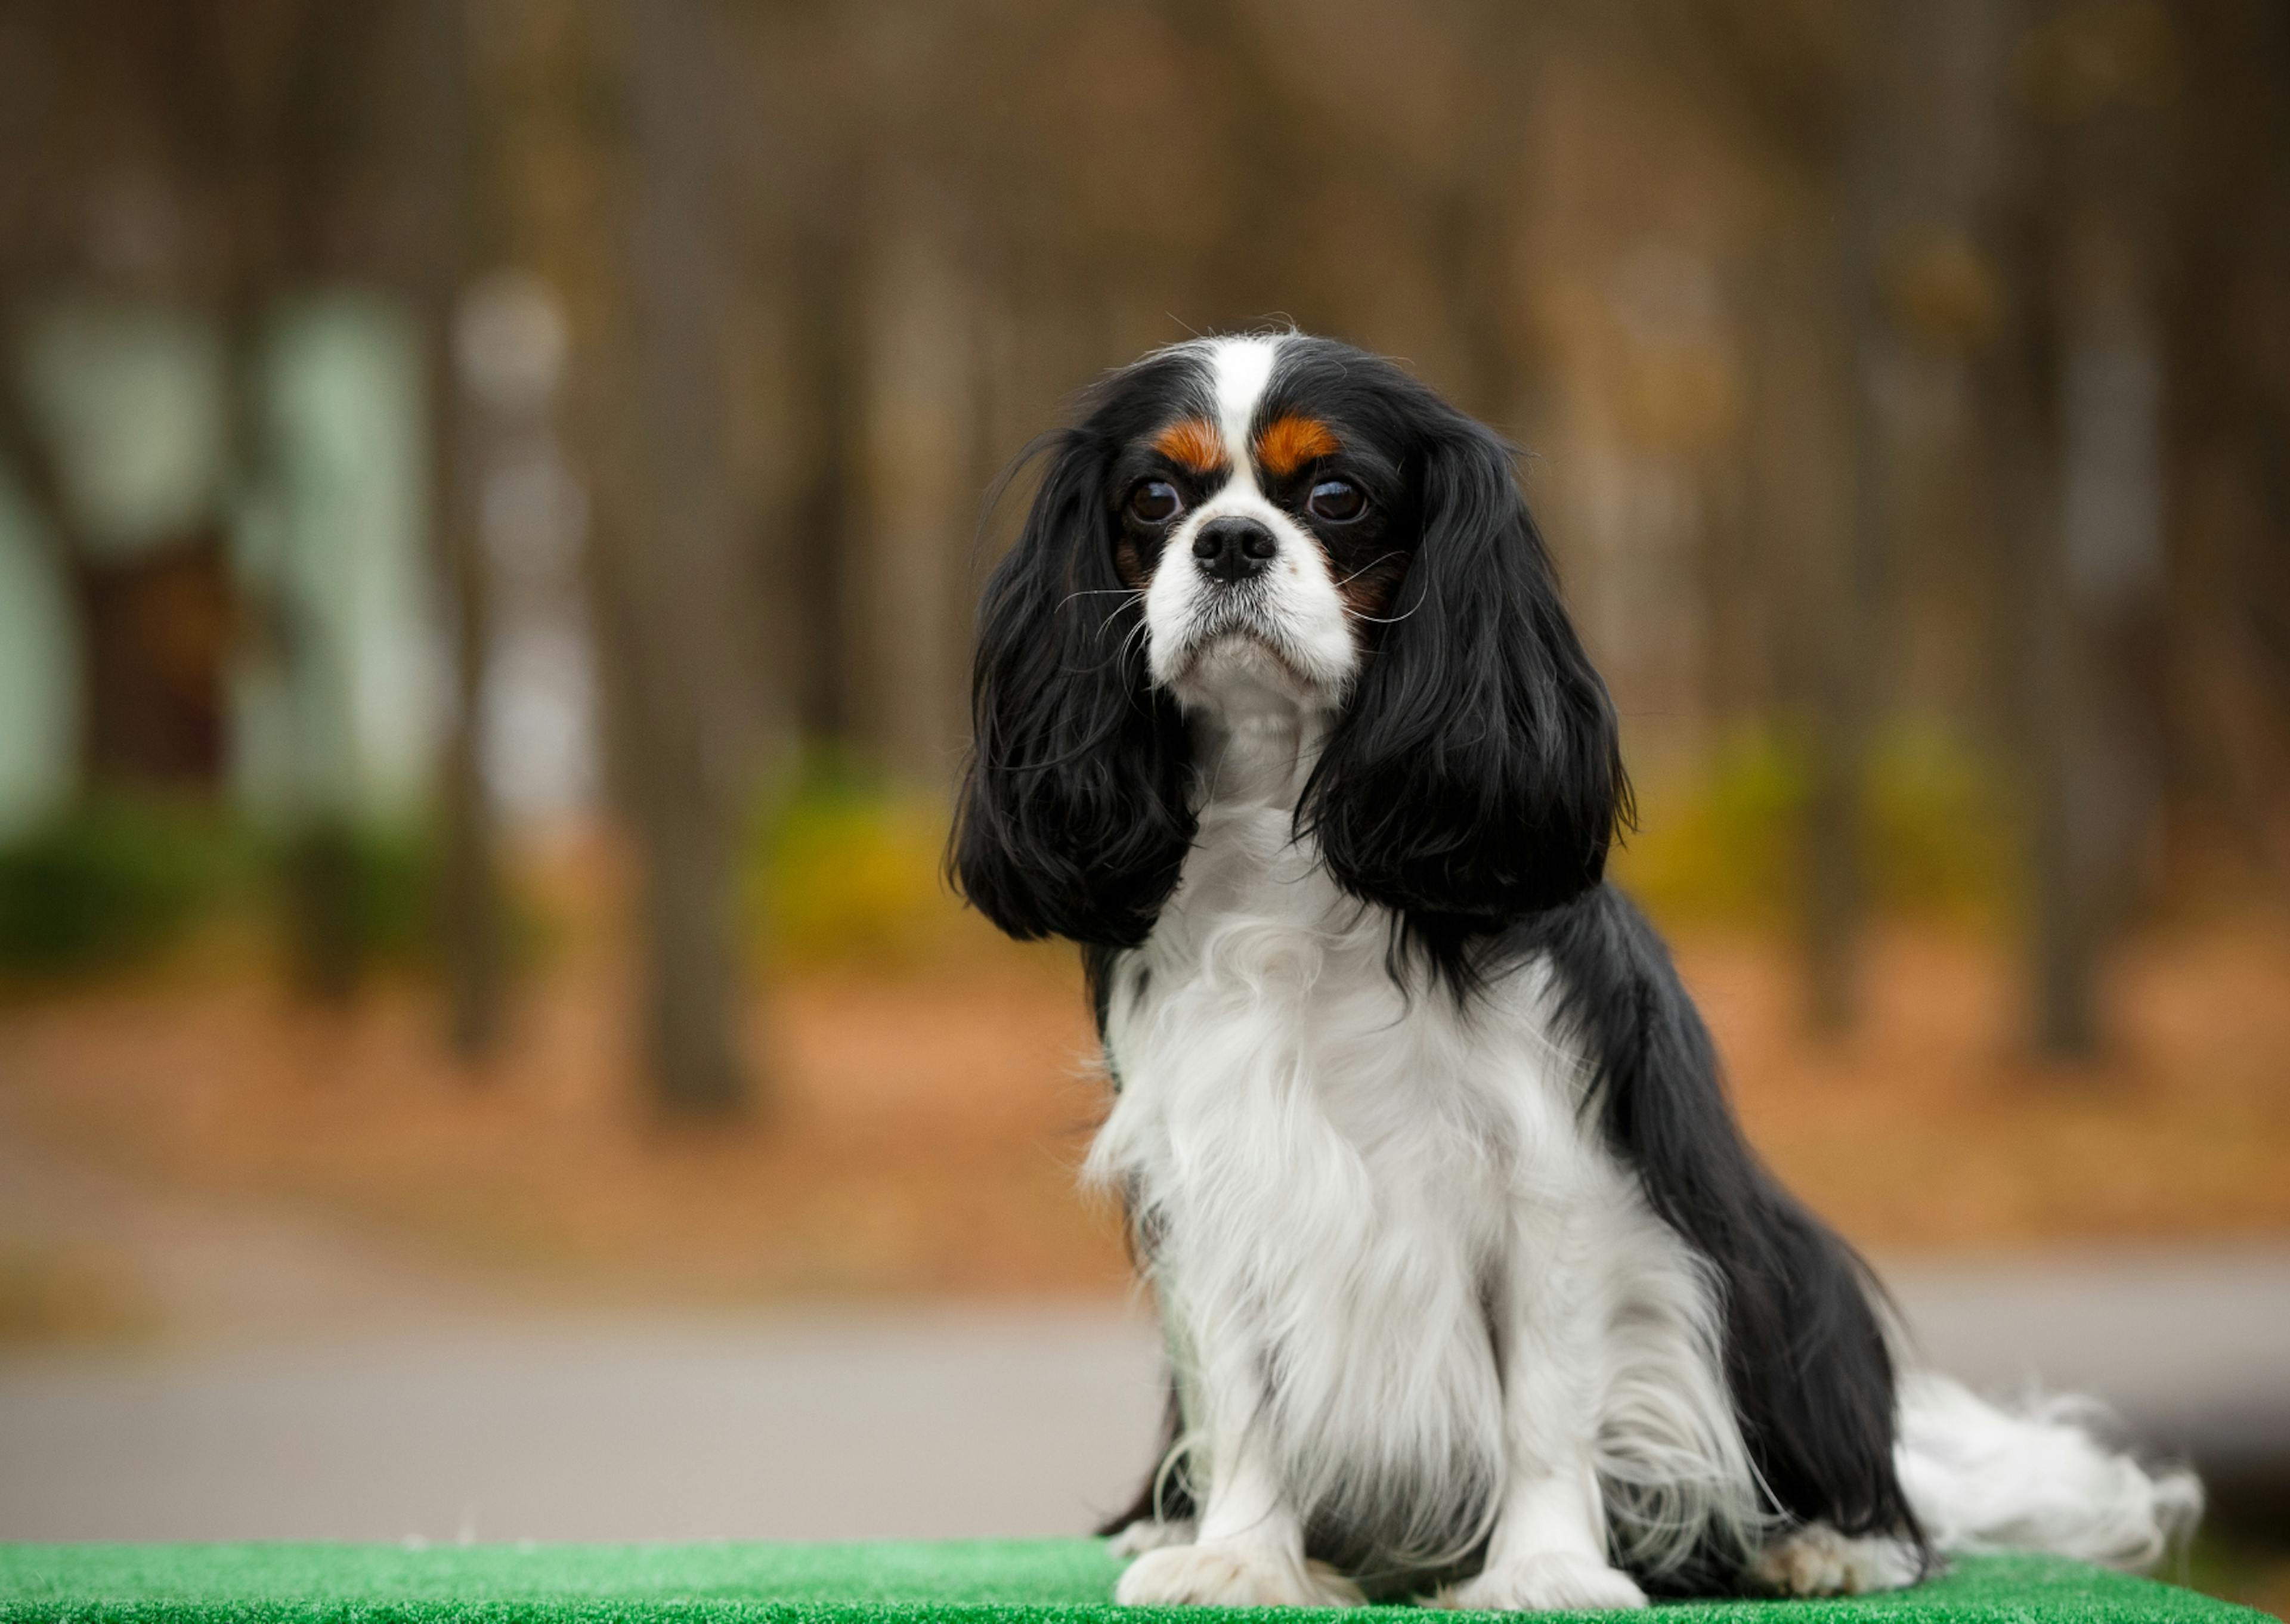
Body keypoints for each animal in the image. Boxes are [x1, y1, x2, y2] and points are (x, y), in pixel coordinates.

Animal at [948, 332, 2198, 1612]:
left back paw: (1826, 1542)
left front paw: (1544, 1565)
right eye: (1155, 498)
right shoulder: (1219, 1176)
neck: (1287, 812)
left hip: (1791, 1274)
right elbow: (1245, 1394)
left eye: (1336, 496)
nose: (1231, 540)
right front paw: (1243, 1554)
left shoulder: (1556, 1185)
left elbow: (1544, 1399)